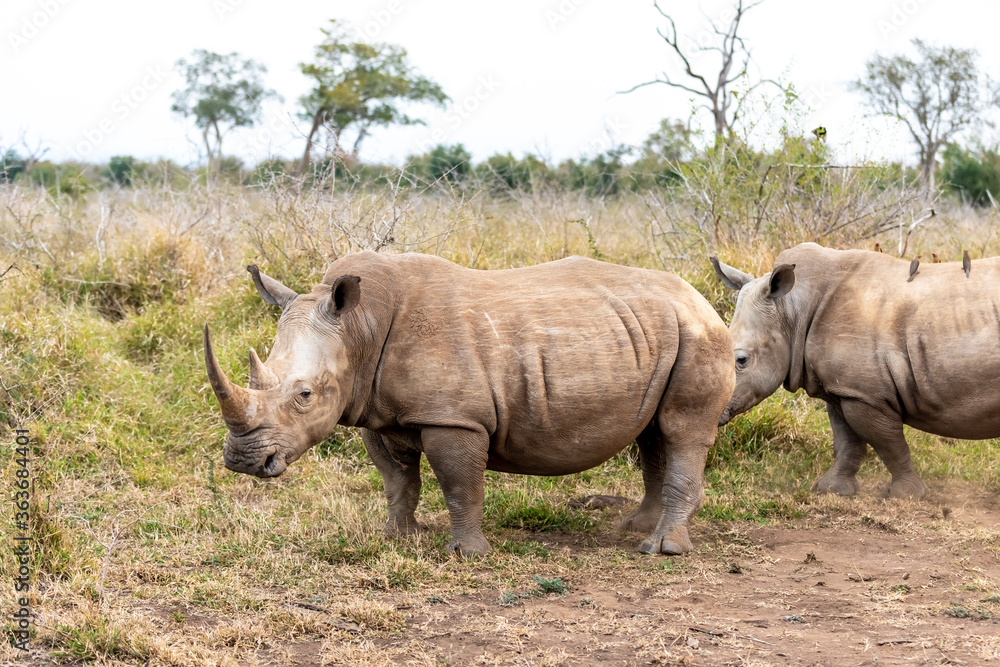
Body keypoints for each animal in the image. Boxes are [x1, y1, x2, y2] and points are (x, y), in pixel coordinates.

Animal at [204, 251, 734, 556]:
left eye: (304, 395)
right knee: (653, 433)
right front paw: (398, 537)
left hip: (699, 333)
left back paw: (661, 549)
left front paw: (470, 554)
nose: (243, 461)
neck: (358, 327)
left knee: (682, 431)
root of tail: (700, 297)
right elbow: (398, 481)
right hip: (656, 333)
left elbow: (461, 485)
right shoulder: (375, 411)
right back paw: (633, 529)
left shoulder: (454, 418)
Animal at [711, 242, 1000, 498]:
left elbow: (888, 443)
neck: (793, 310)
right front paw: (831, 489)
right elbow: (847, 441)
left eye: (741, 360)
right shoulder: (843, 389)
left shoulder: (866, 393)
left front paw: (905, 495)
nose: (712, 410)